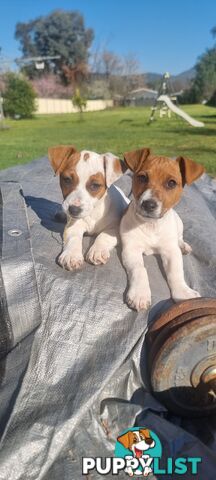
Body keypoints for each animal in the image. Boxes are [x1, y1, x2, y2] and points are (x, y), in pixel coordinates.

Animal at [49, 144, 126, 272]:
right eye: (67, 180)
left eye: (95, 185)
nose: (73, 210)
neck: (93, 213)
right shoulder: (73, 226)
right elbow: (74, 239)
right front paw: (71, 255)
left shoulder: (115, 229)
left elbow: (103, 236)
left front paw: (97, 250)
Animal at [120, 148, 205, 312]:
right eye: (142, 177)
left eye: (171, 183)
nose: (148, 205)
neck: (151, 225)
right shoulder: (131, 249)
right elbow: (139, 269)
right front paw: (139, 294)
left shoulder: (170, 251)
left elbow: (175, 272)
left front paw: (183, 293)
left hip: (179, 225)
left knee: (180, 238)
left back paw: (184, 246)